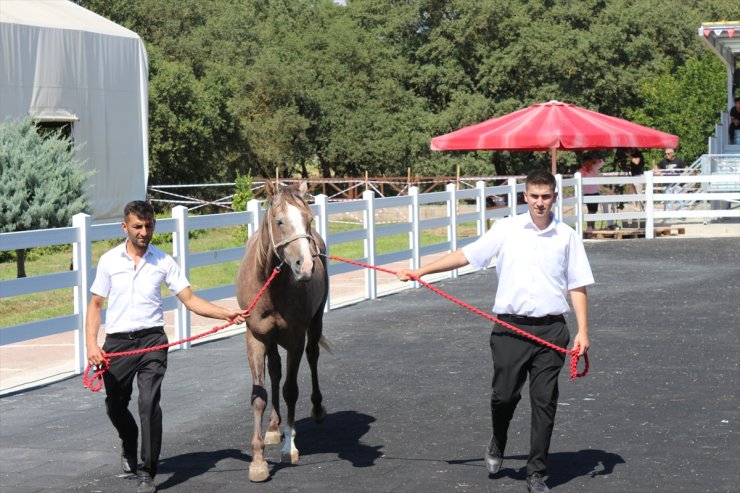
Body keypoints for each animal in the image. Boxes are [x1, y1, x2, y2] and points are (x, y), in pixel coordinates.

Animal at [237, 180, 330, 480]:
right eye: (279, 221)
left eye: (309, 219)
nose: (307, 266)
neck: (271, 285)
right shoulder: (255, 339)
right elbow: (259, 395)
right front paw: (258, 460)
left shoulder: (294, 340)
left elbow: (291, 390)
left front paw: (290, 446)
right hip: (270, 340)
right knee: (275, 370)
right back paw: (273, 427)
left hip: (314, 324)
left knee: (312, 357)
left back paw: (316, 409)